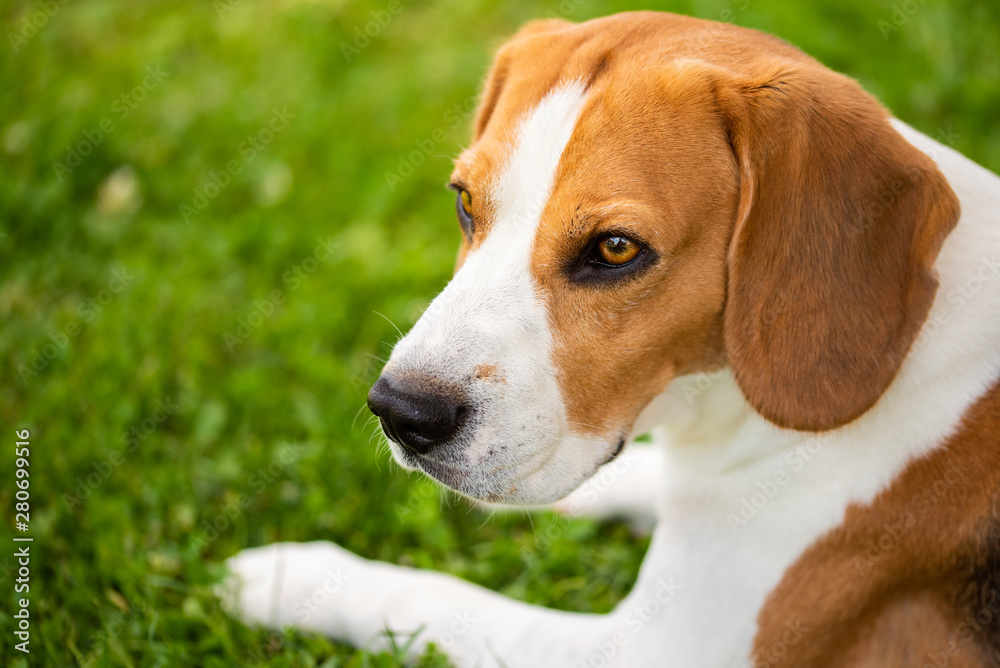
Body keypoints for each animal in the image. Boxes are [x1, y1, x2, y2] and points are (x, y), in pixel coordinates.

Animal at [225, 11, 1000, 668]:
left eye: (616, 248)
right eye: (465, 202)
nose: (399, 412)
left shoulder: (656, 650)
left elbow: (435, 597)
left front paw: (297, 577)